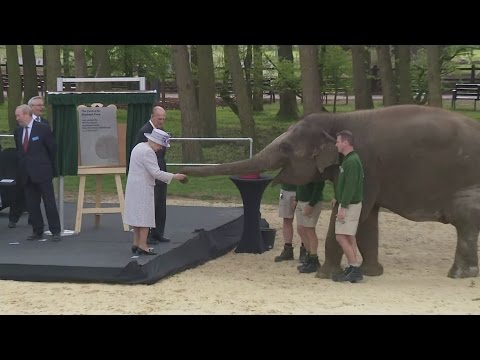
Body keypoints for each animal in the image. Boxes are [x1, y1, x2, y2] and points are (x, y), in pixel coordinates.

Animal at [180, 104, 480, 278]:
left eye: (286, 147)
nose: (182, 177)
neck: (337, 119)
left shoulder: (366, 167)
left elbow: (347, 213)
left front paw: (325, 275)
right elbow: (368, 218)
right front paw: (372, 273)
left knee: (464, 219)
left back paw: (457, 274)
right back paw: (468, 274)